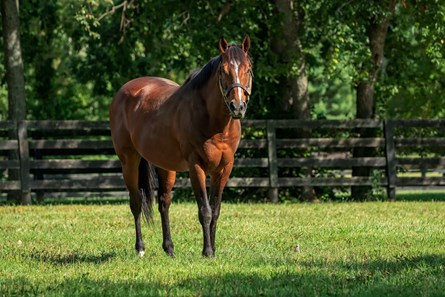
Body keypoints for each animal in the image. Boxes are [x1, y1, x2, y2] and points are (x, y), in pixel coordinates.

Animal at [109, 35, 251, 256]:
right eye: (223, 70)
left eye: (248, 69)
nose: (237, 107)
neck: (215, 124)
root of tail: (125, 91)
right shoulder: (196, 166)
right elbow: (205, 211)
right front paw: (207, 252)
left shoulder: (224, 168)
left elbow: (215, 210)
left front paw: (213, 249)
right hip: (129, 161)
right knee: (136, 203)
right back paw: (140, 249)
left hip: (165, 166)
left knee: (164, 203)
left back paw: (169, 249)